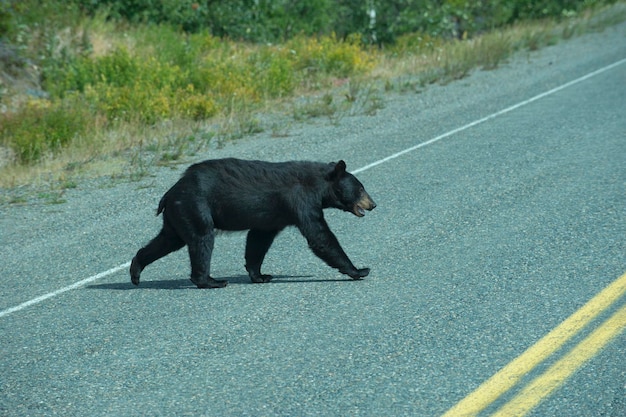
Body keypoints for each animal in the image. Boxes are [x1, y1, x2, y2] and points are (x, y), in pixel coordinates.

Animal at [130, 158, 376, 288]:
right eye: (361, 188)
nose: (373, 204)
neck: (319, 187)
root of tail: (170, 193)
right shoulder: (301, 201)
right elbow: (320, 237)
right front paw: (358, 270)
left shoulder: (273, 216)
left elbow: (258, 240)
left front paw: (260, 275)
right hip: (196, 208)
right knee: (202, 240)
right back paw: (211, 280)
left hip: (179, 215)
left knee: (168, 240)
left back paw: (136, 271)